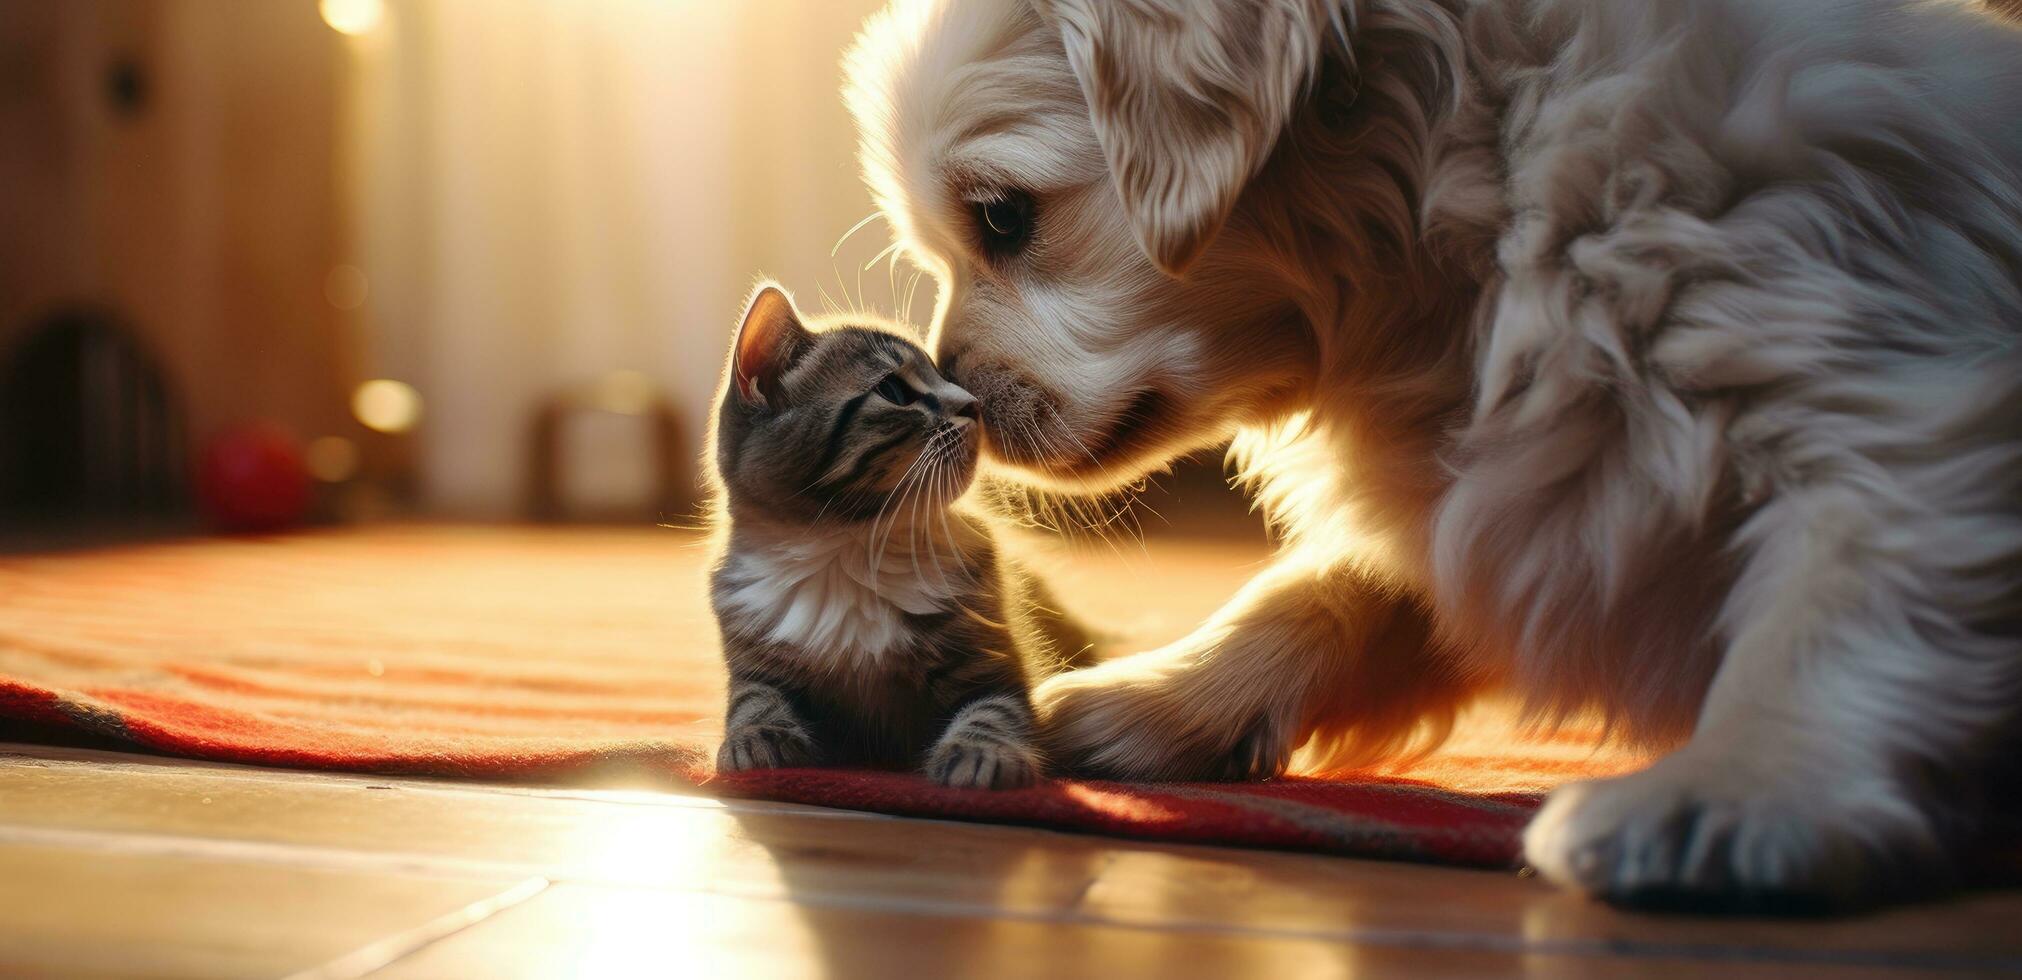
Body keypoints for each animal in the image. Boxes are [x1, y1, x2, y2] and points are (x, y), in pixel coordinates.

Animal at [707, 282, 1091, 788]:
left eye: (944, 376)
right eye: (894, 390)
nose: (975, 404)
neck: (855, 546)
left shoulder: (993, 660)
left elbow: (994, 710)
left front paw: (980, 755)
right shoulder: (752, 660)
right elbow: (753, 698)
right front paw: (756, 737)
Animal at [845, 0, 2022, 905]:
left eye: (1003, 218)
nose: (952, 394)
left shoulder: (1886, 403)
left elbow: (1832, 607)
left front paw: (1733, 790)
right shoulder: (1516, 482)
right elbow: (1331, 590)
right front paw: (1149, 697)